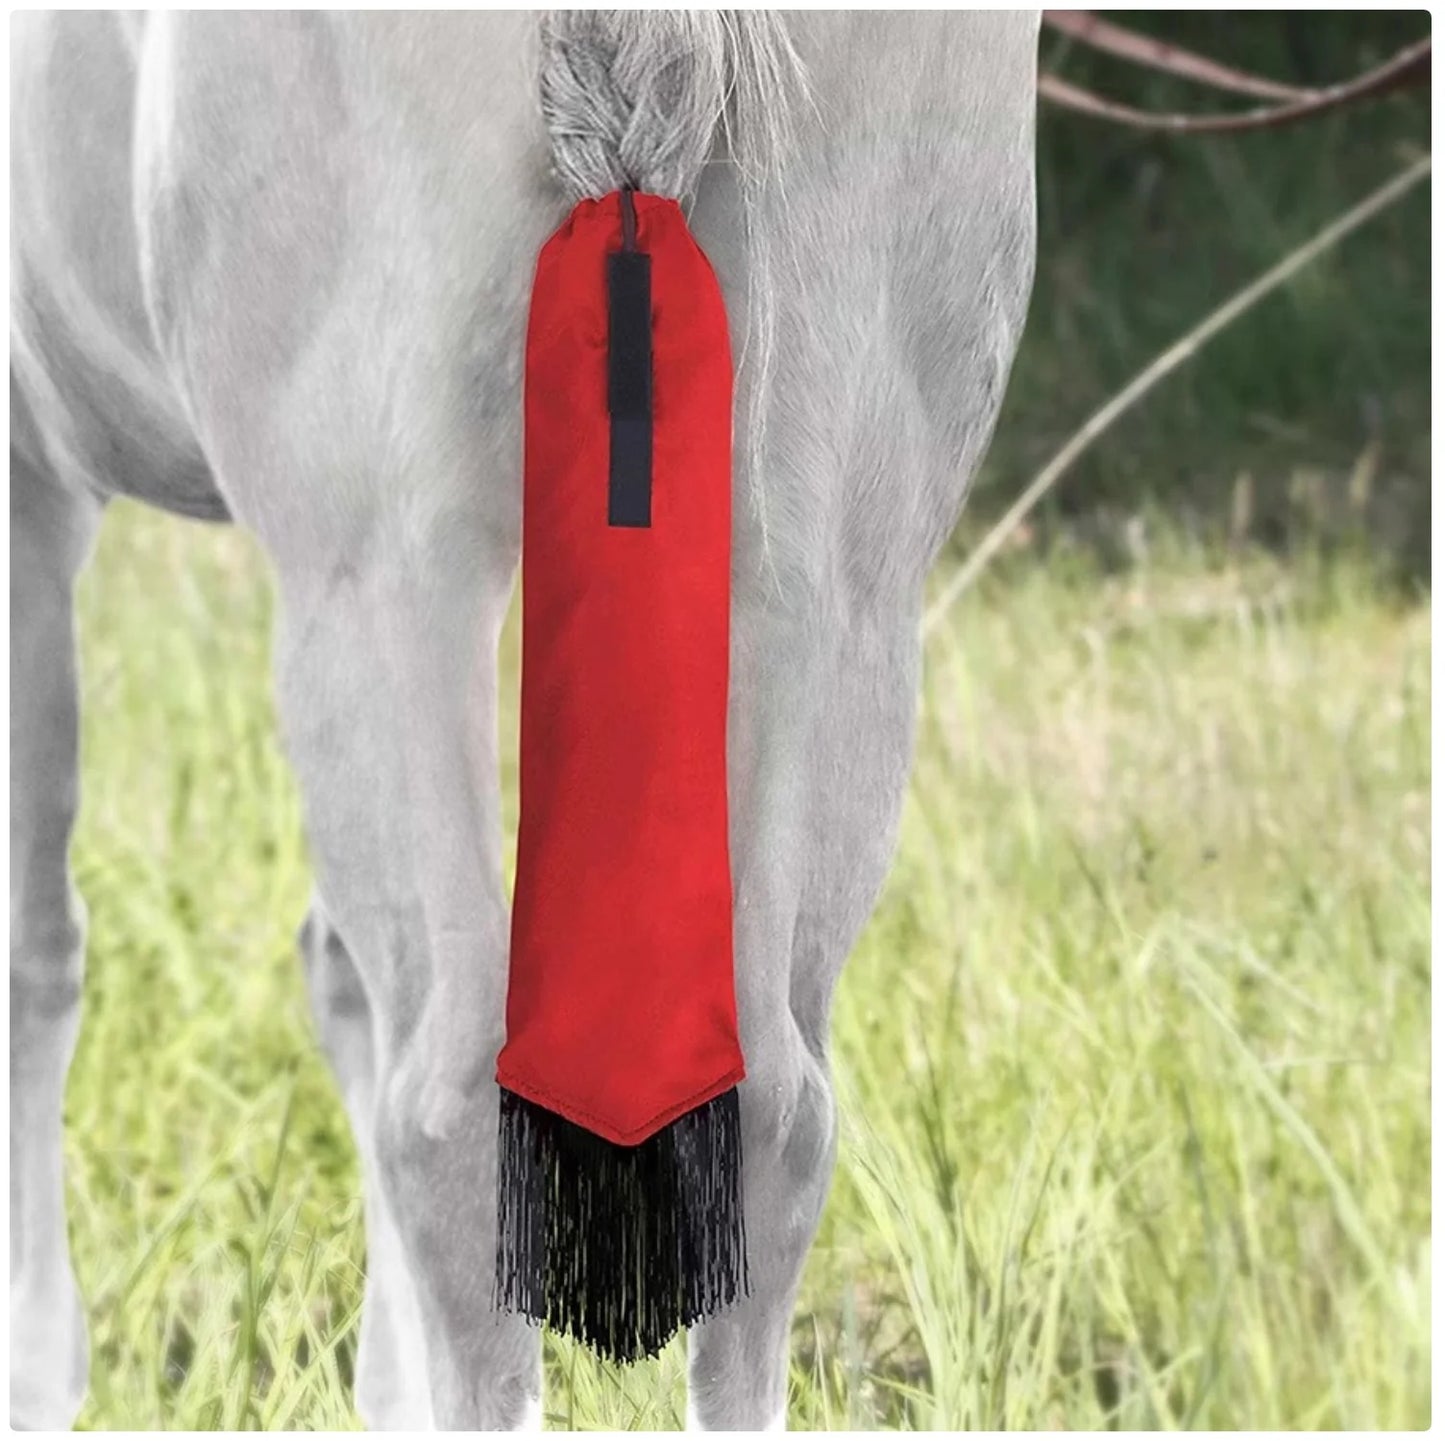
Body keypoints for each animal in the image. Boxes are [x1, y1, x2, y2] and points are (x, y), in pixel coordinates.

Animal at [10, 11, 1038, 1429]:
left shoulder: (30, 472)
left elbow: (34, 948)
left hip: (386, 572)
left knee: (445, 1108)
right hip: (833, 579)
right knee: (774, 1113)